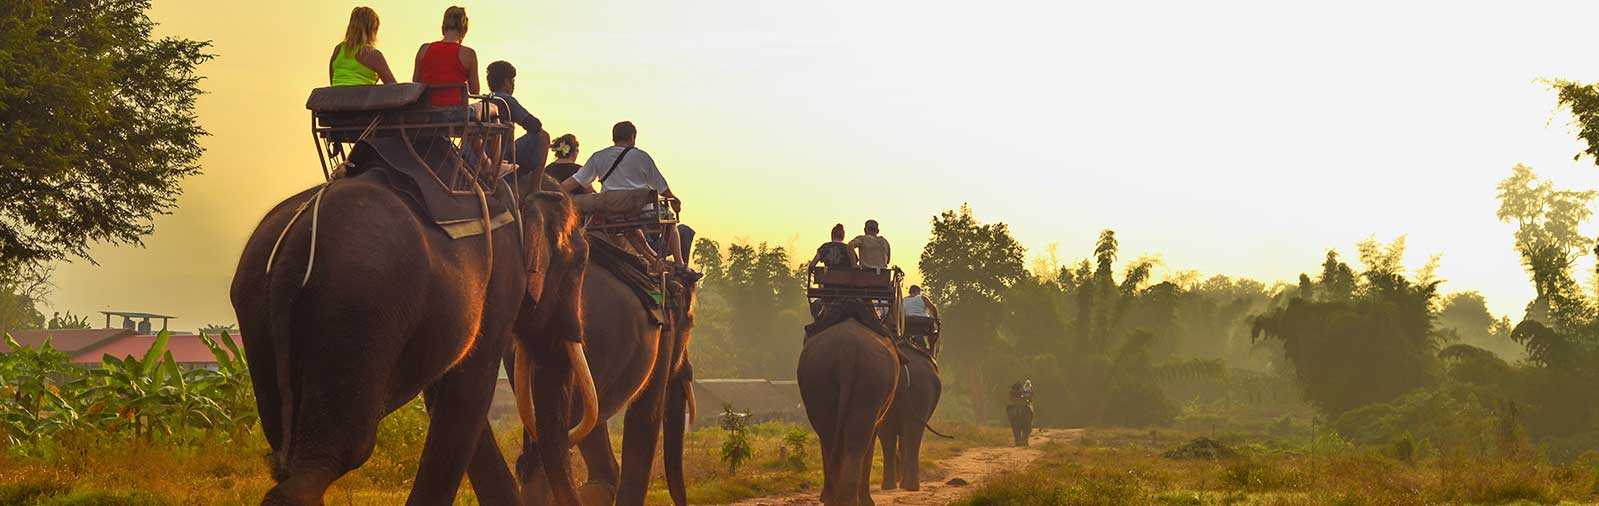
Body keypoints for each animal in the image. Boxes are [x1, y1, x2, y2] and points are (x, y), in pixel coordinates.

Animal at [228, 169, 598, 506]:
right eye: (580, 262)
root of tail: (296, 244)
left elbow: (446, 393)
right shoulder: (502, 282)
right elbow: (471, 391)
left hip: (256, 301)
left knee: (286, 442)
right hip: (358, 307)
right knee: (342, 449)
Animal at [796, 302, 901, 506]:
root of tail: (847, 350)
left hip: (819, 378)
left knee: (829, 434)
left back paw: (835, 499)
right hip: (871, 380)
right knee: (857, 439)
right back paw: (850, 499)